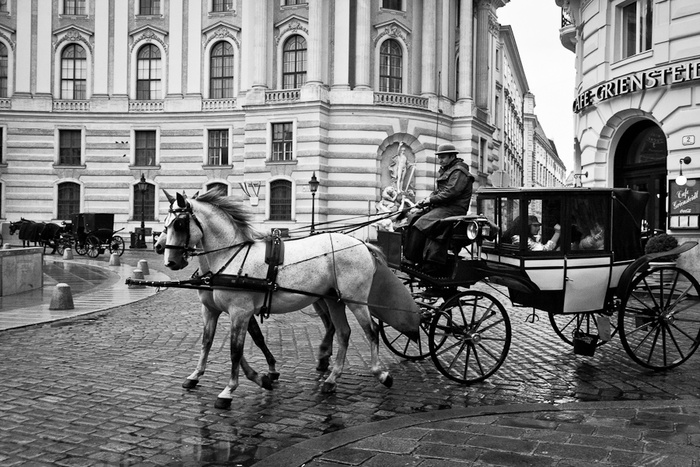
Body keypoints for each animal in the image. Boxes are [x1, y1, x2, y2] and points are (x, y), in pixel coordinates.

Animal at [160, 189, 392, 408]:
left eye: (179, 224)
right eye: (165, 225)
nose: (170, 261)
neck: (231, 257)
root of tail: (361, 243)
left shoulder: (240, 312)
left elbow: (236, 350)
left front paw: (229, 390)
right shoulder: (212, 310)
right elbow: (209, 342)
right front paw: (198, 375)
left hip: (354, 300)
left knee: (371, 331)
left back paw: (380, 373)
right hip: (334, 299)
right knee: (343, 333)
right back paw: (331, 379)